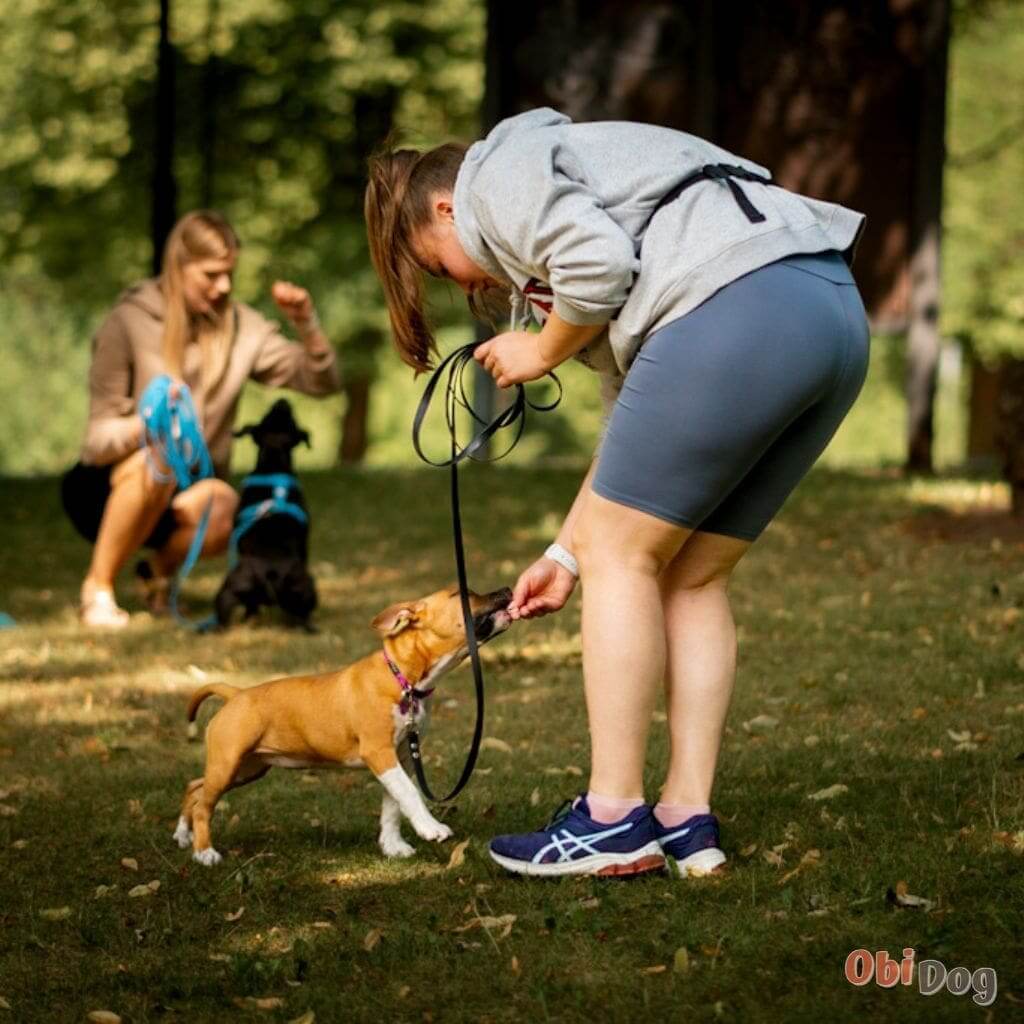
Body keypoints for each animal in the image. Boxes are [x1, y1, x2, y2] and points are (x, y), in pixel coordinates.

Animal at [174, 585, 520, 864]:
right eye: (462, 593)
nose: (507, 589)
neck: (403, 678)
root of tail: (235, 694)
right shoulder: (379, 752)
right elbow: (408, 794)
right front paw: (430, 828)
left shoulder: (401, 756)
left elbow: (393, 804)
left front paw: (393, 846)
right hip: (230, 763)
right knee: (204, 804)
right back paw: (204, 852)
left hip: (248, 767)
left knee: (195, 788)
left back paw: (182, 835)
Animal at [211, 401, 315, 626]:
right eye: (292, 420)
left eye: (268, 416)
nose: (282, 401)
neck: (272, 463)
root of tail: (270, 572)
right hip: (307, 587)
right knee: (303, 616)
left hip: (228, 592)